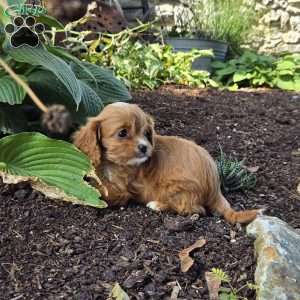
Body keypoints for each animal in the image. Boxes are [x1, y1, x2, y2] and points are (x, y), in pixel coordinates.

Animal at [73, 102, 262, 223]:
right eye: (122, 133)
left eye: (146, 133)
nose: (144, 147)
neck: (113, 163)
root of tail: (215, 186)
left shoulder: (122, 190)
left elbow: (103, 192)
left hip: (177, 187)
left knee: (194, 209)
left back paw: (156, 205)